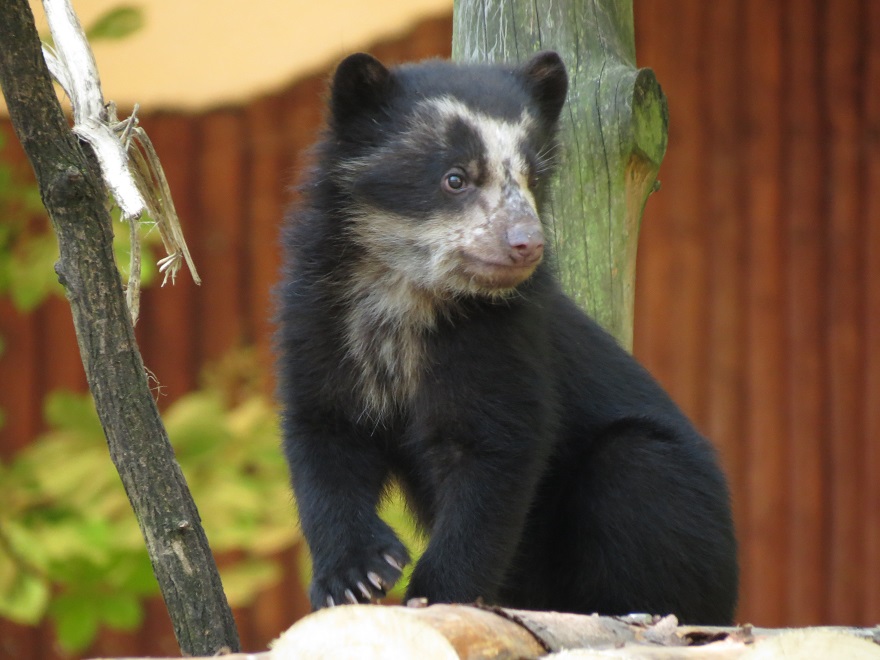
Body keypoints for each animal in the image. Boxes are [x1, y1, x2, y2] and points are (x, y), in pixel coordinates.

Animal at [275, 50, 738, 624]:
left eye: (533, 178)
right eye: (455, 178)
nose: (527, 244)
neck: (407, 291)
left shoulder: (502, 336)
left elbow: (494, 454)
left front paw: (436, 592)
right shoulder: (319, 317)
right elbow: (324, 433)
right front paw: (356, 576)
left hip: (677, 509)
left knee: (636, 472)